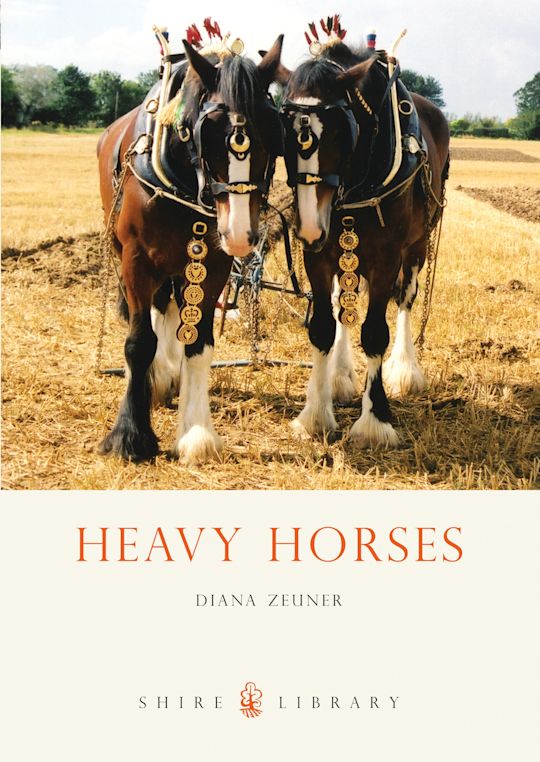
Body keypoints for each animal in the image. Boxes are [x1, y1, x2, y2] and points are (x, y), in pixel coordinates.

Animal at [97, 33, 286, 464]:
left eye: (272, 127)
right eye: (207, 131)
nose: (239, 233)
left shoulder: (212, 265)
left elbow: (198, 343)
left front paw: (196, 432)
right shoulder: (136, 259)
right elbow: (139, 342)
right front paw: (129, 434)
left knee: (167, 309)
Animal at [280, 31, 450, 447]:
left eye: (342, 129)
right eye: (283, 128)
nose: (310, 225)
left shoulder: (387, 255)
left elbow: (374, 333)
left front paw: (376, 421)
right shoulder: (319, 255)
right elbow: (323, 326)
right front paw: (316, 414)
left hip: (418, 245)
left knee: (405, 300)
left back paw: (405, 368)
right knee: (344, 303)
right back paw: (340, 376)